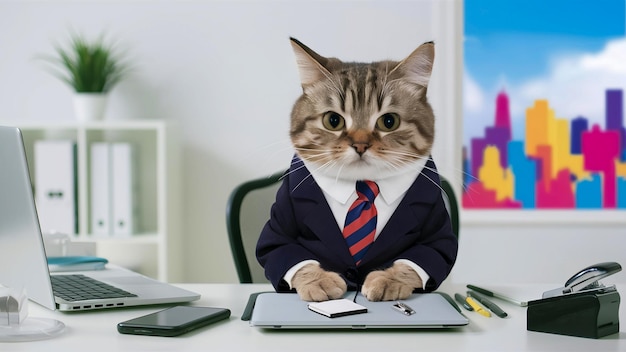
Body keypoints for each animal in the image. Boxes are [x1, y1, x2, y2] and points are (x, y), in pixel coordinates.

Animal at [255, 38, 458, 302]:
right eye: (333, 120)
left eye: (389, 121)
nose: (360, 145)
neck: (362, 184)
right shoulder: (279, 225)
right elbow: (286, 253)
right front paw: (319, 280)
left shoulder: (437, 228)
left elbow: (420, 259)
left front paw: (387, 280)